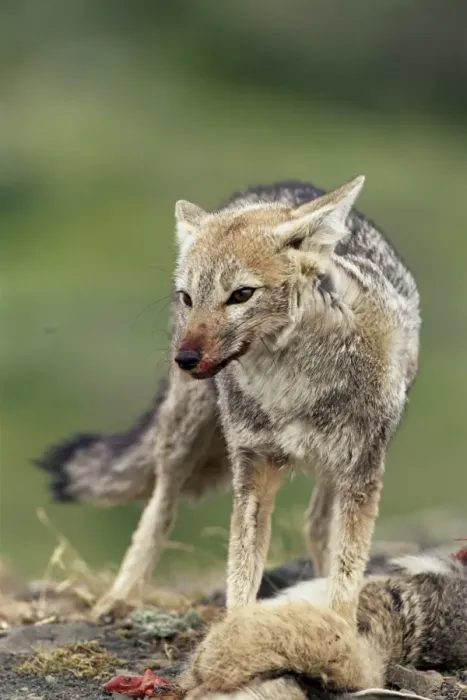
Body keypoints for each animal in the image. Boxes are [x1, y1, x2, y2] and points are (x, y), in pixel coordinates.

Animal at [36, 176, 421, 618]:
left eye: (241, 294)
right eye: (188, 297)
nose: (184, 359)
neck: (290, 386)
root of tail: (282, 185)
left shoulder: (360, 473)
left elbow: (347, 573)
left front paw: (337, 621)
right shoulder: (253, 471)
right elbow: (240, 576)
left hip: (335, 468)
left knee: (316, 523)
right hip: (182, 435)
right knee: (159, 507)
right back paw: (121, 595)